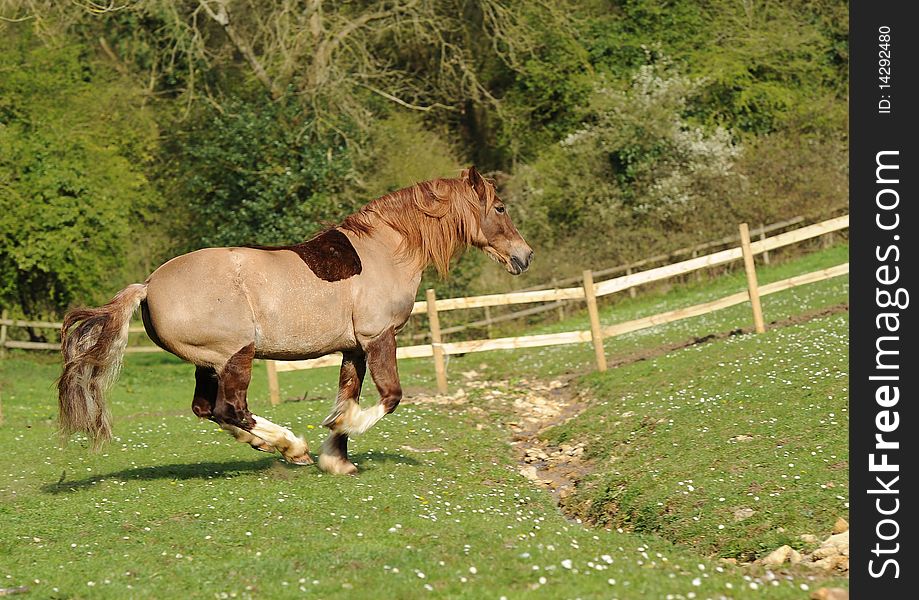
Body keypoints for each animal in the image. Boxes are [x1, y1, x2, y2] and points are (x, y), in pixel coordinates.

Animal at [57, 168, 532, 474]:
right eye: (500, 207)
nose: (524, 257)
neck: (387, 250)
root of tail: (149, 285)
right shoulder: (379, 338)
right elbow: (390, 397)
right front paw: (339, 433)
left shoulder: (353, 348)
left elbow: (348, 395)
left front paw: (337, 459)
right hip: (235, 355)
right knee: (231, 409)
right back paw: (292, 446)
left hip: (207, 363)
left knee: (208, 410)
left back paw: (280, 447)